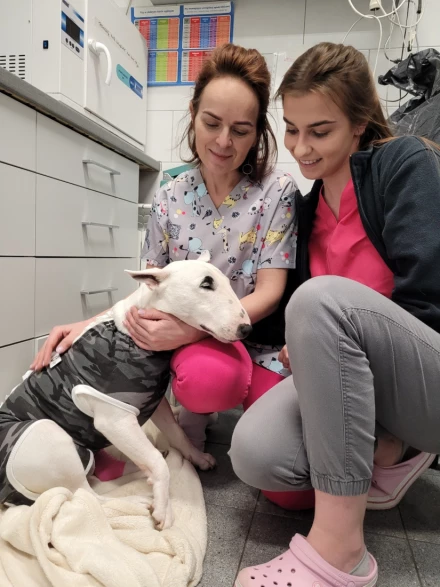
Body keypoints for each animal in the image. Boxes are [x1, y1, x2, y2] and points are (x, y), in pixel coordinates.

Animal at [0, 253, 251, 530]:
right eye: (206, 284)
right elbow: (157, 463)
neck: (129, 335)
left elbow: (177, 434)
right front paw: (164, 509)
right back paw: (136, 500)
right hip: (48, 434)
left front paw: (197, 458)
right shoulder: (116, 419)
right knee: (87, 496)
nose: (246, 329)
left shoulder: (155, 403)